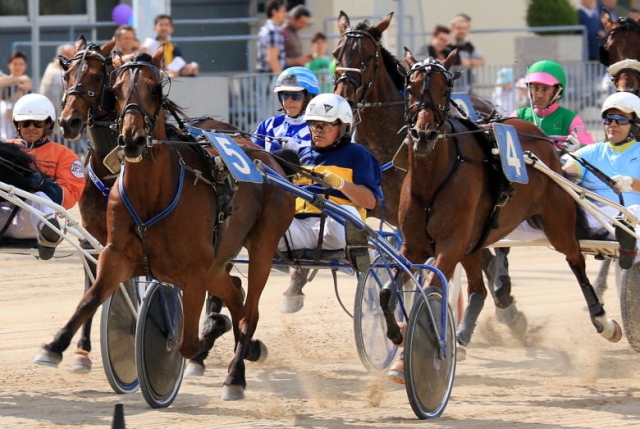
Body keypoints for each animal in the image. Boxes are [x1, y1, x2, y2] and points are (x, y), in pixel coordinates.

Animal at [35, 48, 296, 400]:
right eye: (114, 89)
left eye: (155, 88)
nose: (131, 139)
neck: (152, 192)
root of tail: (268, 159)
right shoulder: (112, 252)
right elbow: (90, 298)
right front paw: (55, 347)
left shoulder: (194, 271)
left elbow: (185, 342)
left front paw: (187, 343)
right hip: (221, 257)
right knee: (235, 292)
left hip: (262, 246)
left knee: (248, 312)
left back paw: (235, 375)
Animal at [380, 49, 620, 358]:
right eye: (410, 88)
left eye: (445, 91)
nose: (424, 134)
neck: (433, 178)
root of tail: (539, 136)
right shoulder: (415, 245)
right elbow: (386, 292)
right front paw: (396, 333)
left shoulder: (450, 246)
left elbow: (433, 289)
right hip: (473, 244)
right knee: (479, 290)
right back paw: (463, 336)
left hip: (556, 222)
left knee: (575, 259)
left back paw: (603, 320)